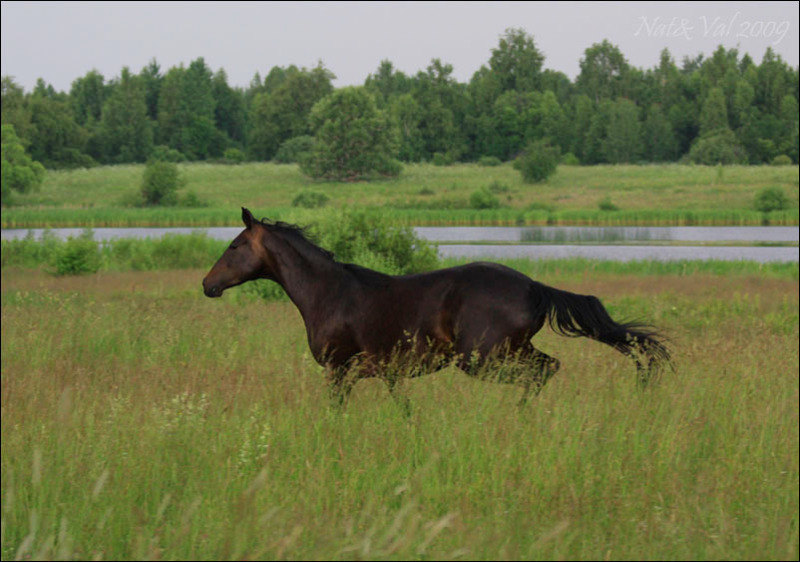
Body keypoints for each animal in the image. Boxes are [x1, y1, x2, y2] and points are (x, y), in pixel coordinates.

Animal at [205, 208, 668, 404]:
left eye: (234, 245)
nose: (208, 284)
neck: (329, 293)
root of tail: (534, 287)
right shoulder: (385, 372)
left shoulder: (340, 369)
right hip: (509, 350)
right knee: (547, 367)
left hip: (485, 357)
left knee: (542, 371)